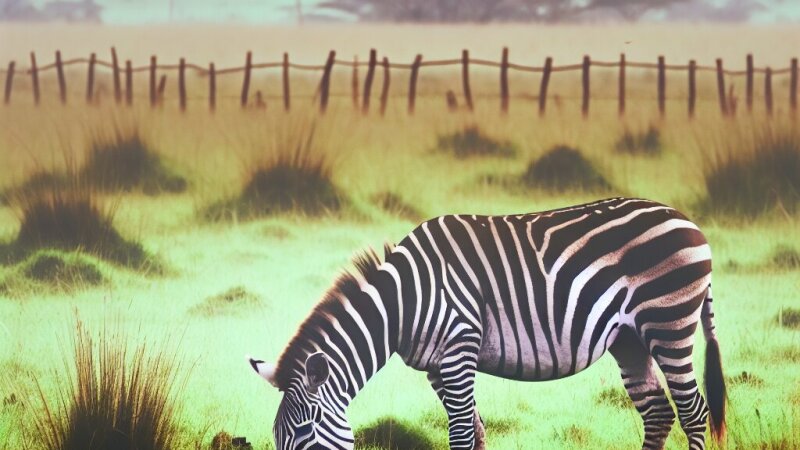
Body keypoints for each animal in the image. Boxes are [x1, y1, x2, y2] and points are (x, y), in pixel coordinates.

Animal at [247, 197, 726, 450]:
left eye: (305, 433)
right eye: (275, 436)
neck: (403, 304)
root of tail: (689, 222)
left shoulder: (459, 350)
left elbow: (460, 433)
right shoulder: (437, 368)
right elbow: (474, 431)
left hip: (668, 323)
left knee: (694, 411)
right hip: (629, 339)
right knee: (659, 412)